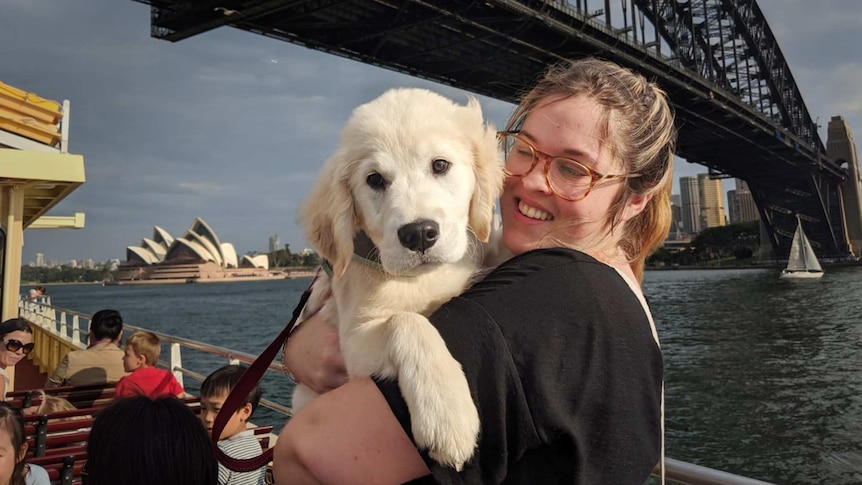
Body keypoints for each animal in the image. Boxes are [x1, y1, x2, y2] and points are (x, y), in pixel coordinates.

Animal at [296, 88, 502, 468]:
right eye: (375, 179)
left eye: (440, 165)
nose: (418, 234)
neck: (422, 278)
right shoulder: (353, 344)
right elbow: (405, 321)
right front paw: (446, 412)